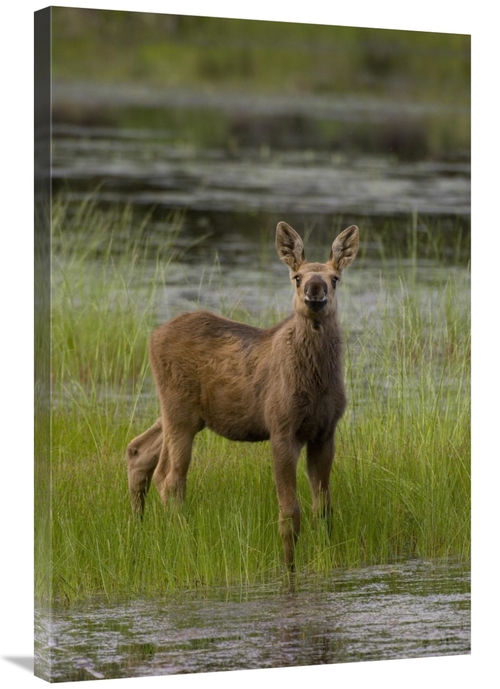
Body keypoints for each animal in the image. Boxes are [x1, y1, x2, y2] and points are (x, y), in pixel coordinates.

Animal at [126, 221, 359, 569]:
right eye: (297, 277)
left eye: (334, 278)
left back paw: (140, 529)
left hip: (182, 414)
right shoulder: (282, 429)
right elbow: (290, 513)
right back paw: (183, 541)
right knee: (169, 477)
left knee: (139, 451)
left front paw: (326, 555)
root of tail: (153, 336)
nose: (315, 291)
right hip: (179, 413)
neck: (317, 381)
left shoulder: (324, 432)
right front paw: (289, 567)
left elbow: (324, 509)